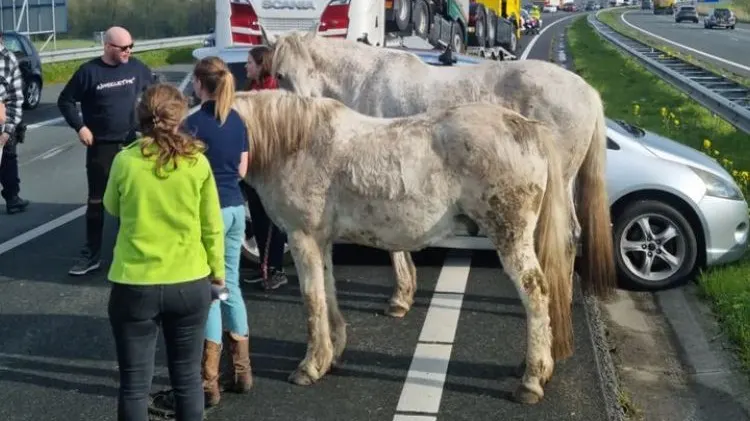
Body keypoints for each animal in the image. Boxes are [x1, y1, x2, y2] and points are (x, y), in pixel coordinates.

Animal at [233, 88, 576, 404]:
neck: (297, 144)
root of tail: (528, 127)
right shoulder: (321, 241)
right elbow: (327, 292)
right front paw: (332, 354)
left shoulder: (302, 238)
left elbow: (312, 300)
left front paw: (310, 366)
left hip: (511, 238)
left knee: (535, 294)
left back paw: (531, 380)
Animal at [260, 29, 617, 329]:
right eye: (280, 75)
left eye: (310, 71)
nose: (304, 109)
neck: (364, 80)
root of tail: (589, 92)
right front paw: (405, 294)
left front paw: (399, 299)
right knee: (572, 234)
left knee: (566, 237)